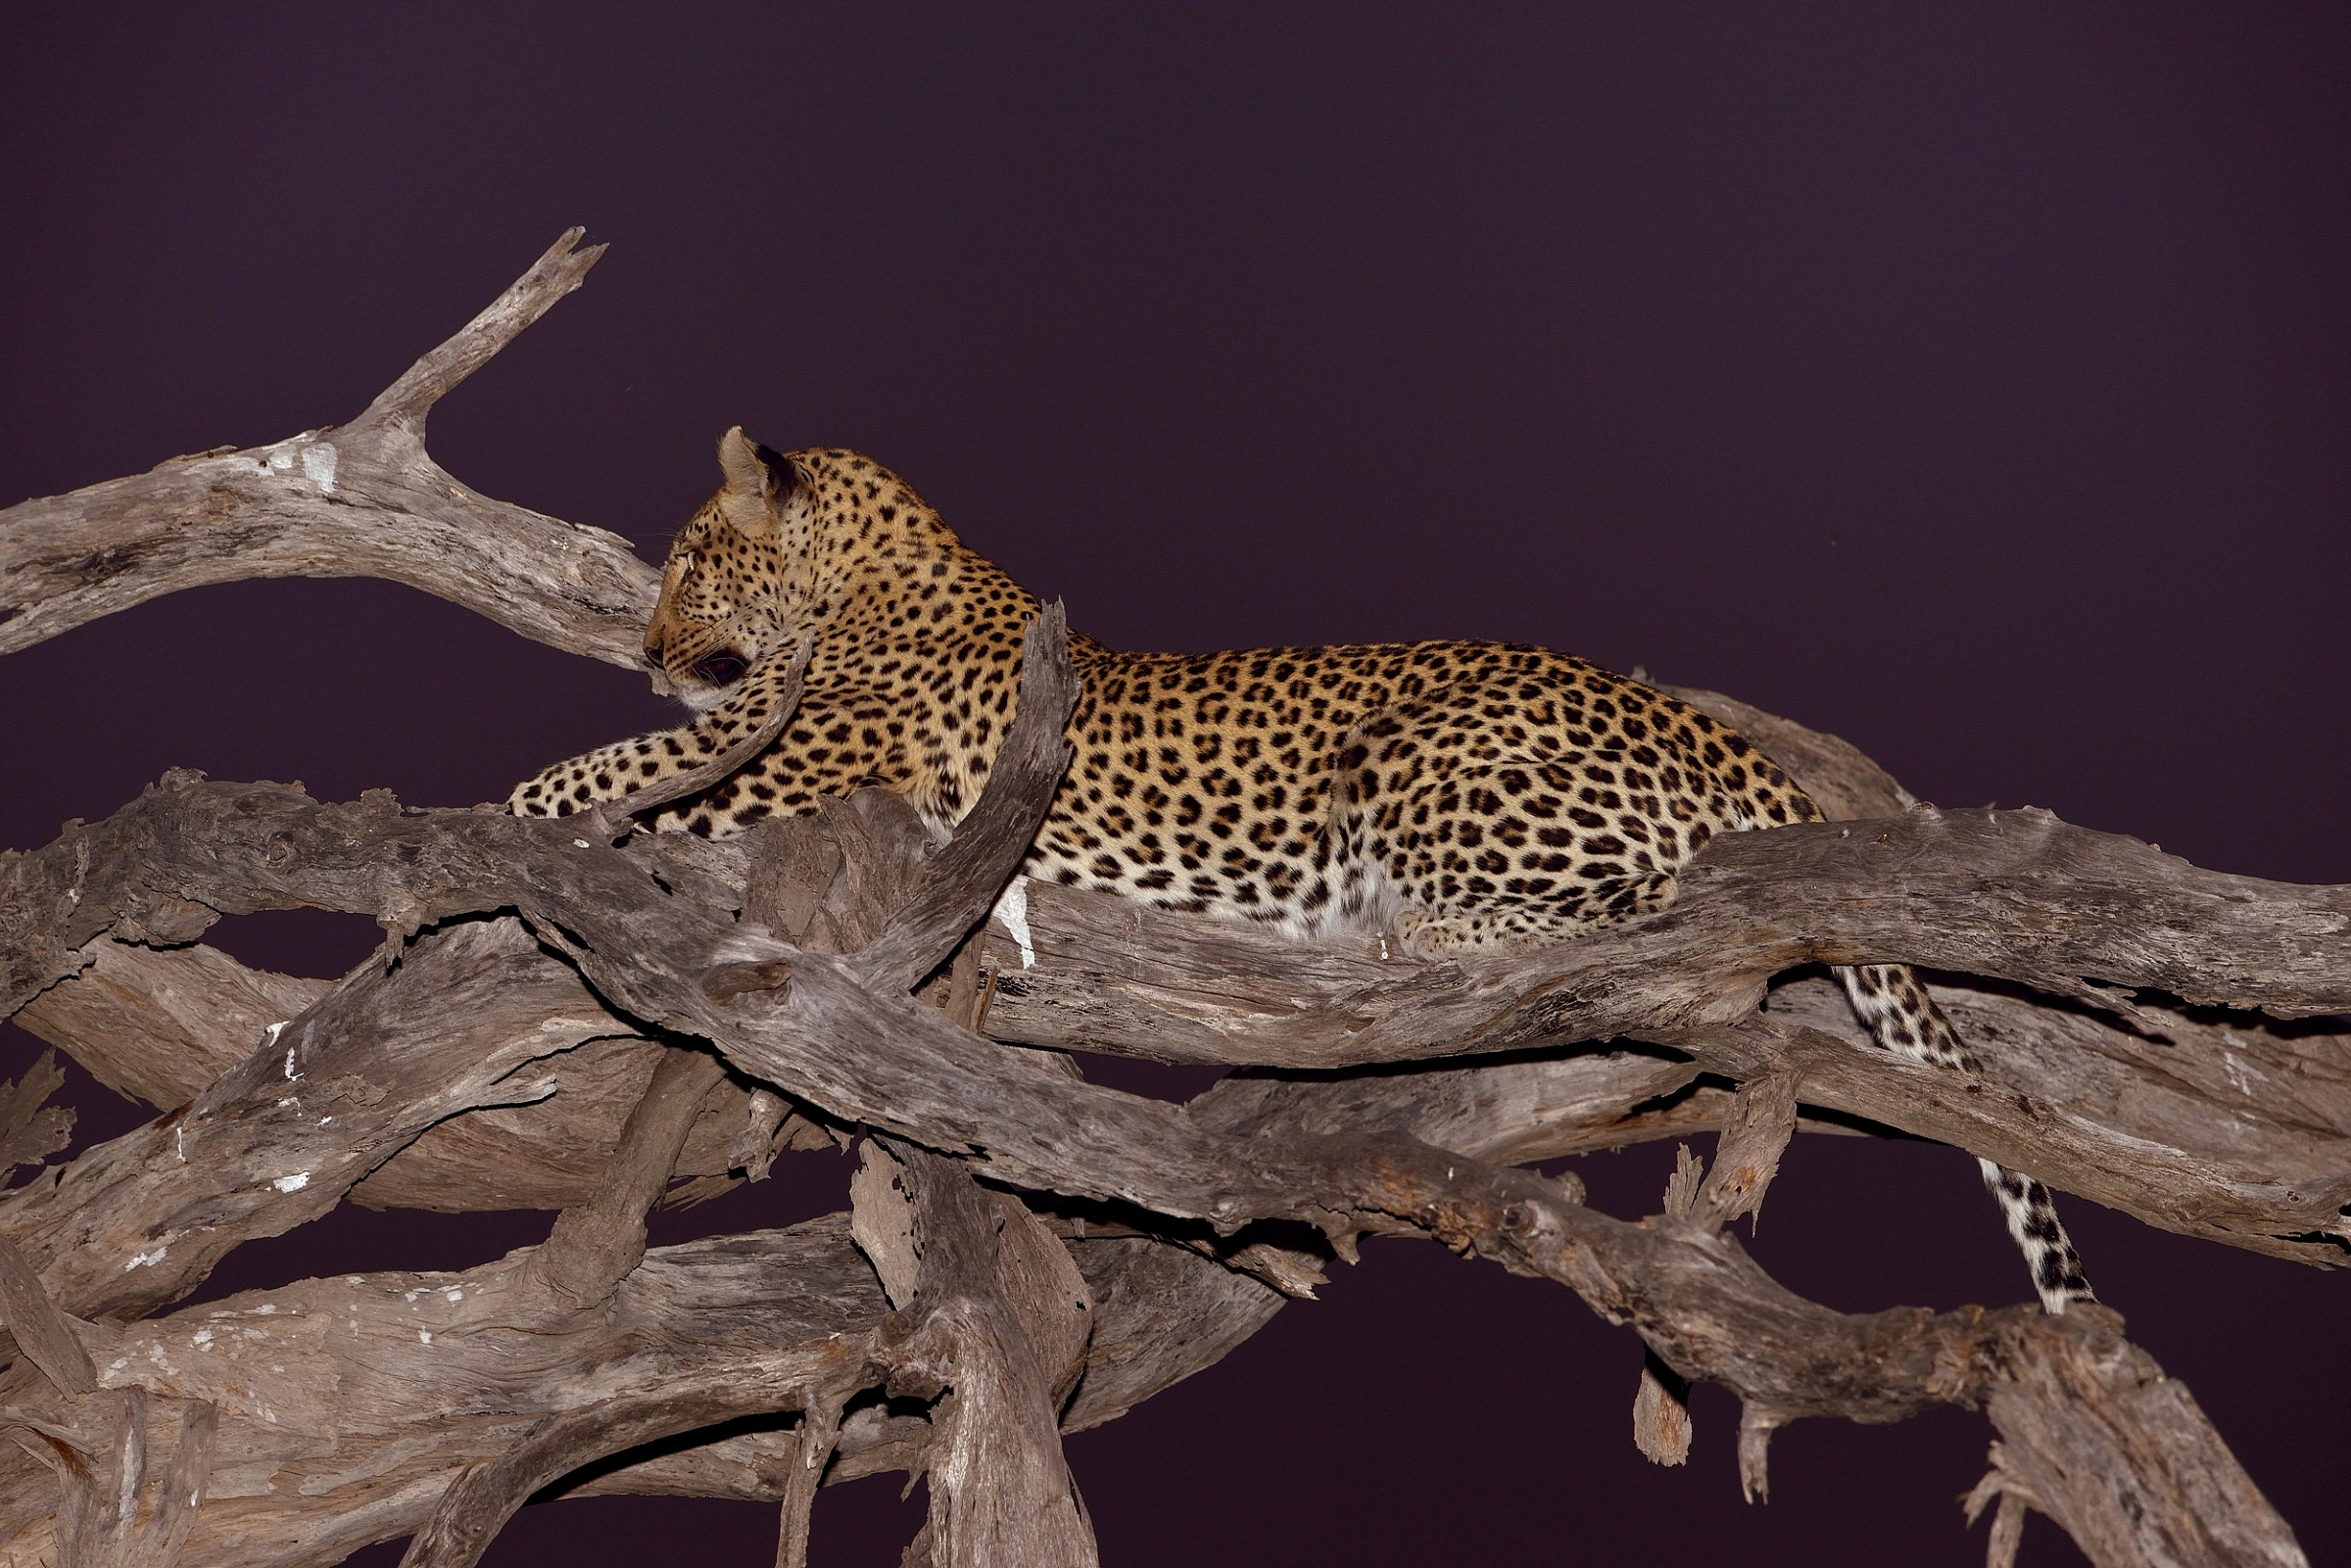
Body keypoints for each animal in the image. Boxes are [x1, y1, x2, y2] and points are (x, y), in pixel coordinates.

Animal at [512, 429, 2093, 1312]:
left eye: (689, 557)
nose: (646, 648)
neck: (872, 579)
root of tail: (1706, 727)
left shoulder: (792, 766)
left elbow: (566, 780)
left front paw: (507, 825)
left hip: (1425, 756)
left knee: (1669, 919)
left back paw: (1415, 937)